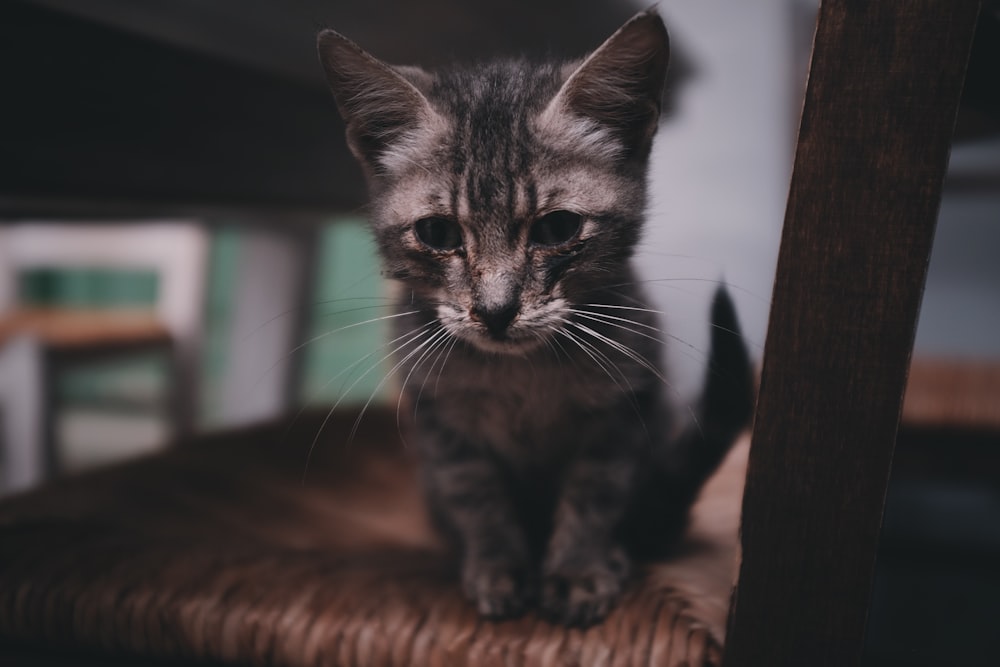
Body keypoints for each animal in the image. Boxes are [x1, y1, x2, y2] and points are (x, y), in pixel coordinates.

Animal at [318, 9, 752, 628]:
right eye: (437, 233)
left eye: (557, 228)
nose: (496, 310)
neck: (521, 378)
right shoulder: (441, 421)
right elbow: (476, 497)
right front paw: (498, 567)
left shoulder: (625, 407)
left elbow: (595, 494)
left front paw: (578, 569)